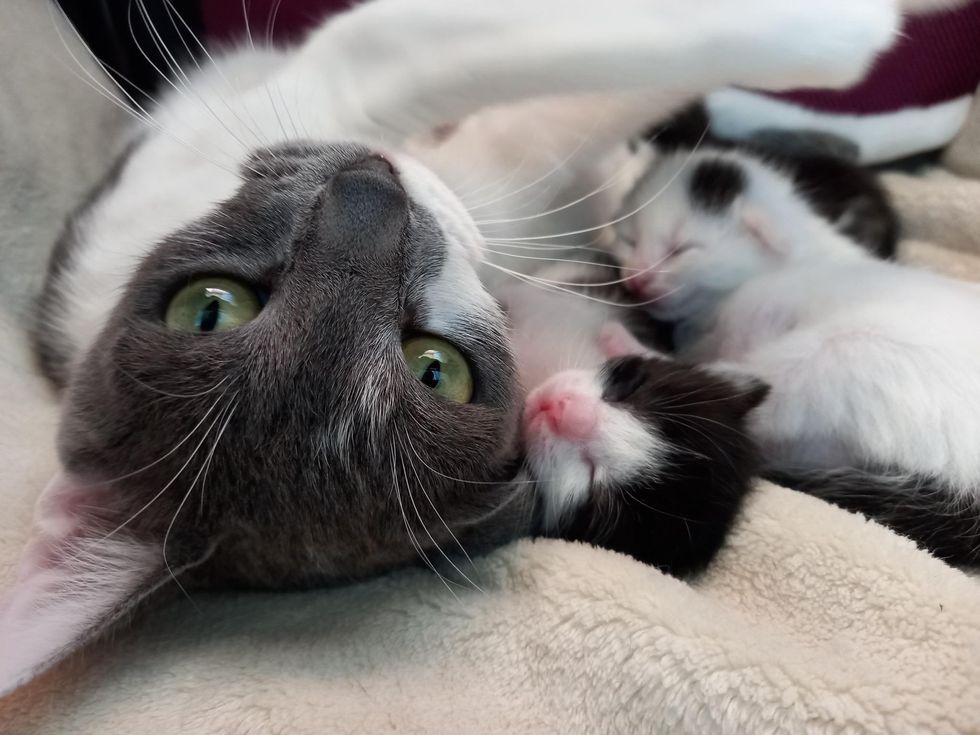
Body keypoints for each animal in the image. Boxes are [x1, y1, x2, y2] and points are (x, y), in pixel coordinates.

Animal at [0, 0, 908, 696]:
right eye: (437, 370)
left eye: (209, 307)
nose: (370, 195)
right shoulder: (381, 83)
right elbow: (460, 37)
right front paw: (847, 32)